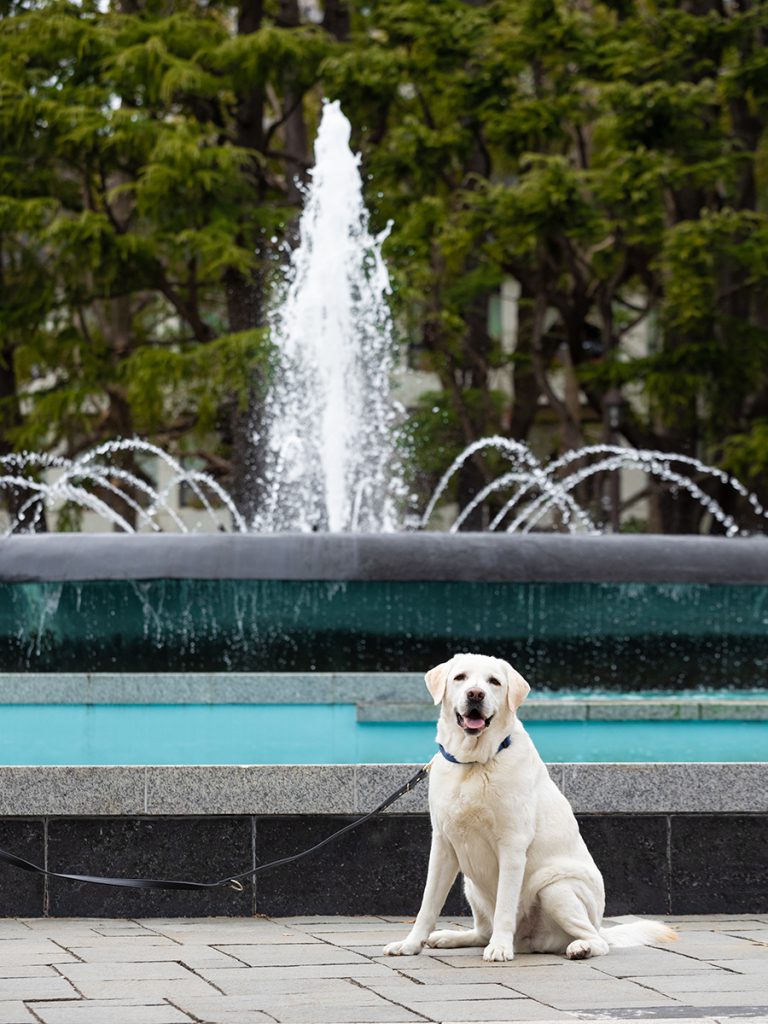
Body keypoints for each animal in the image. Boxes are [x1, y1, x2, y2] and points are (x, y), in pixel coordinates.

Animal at [382, 655, 671, 958]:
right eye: (460, 677)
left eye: (494, 681)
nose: (475, 694)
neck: (473, 762)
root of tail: (527, 941)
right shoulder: (443, 844)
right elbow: (428, 905)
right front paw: (411, 944)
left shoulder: (512, 844)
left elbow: (505, 906)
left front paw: (499, 948)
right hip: (471, 884)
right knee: (482, 932)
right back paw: (451, 937)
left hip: (556, 888)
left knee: (596, 939)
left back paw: (579, 947)